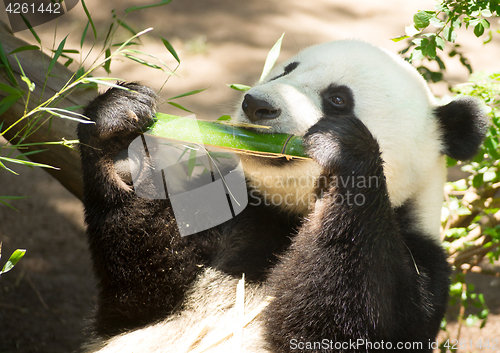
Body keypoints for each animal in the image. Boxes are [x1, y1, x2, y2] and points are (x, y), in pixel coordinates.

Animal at [79, 40, 488, 350]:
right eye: (284, 71)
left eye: (338, 98)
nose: (256, 104)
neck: (286, 215)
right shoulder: (232, 213)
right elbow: (137, 297)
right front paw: (120, 134)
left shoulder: (420, 269)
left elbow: (343, 324)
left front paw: (344, 149)